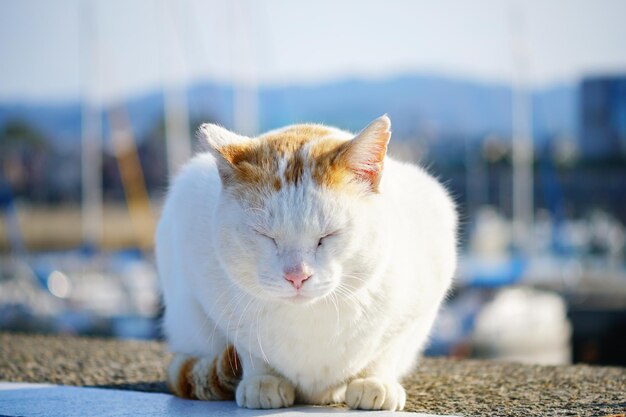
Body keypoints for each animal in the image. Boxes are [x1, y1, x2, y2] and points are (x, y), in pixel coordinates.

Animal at [155, 114, 458, 410]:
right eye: (265, 235)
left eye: (328, 236)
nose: (296, 276)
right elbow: (249, 348)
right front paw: (262, 378)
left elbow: (385, 349)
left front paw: (374, 380)